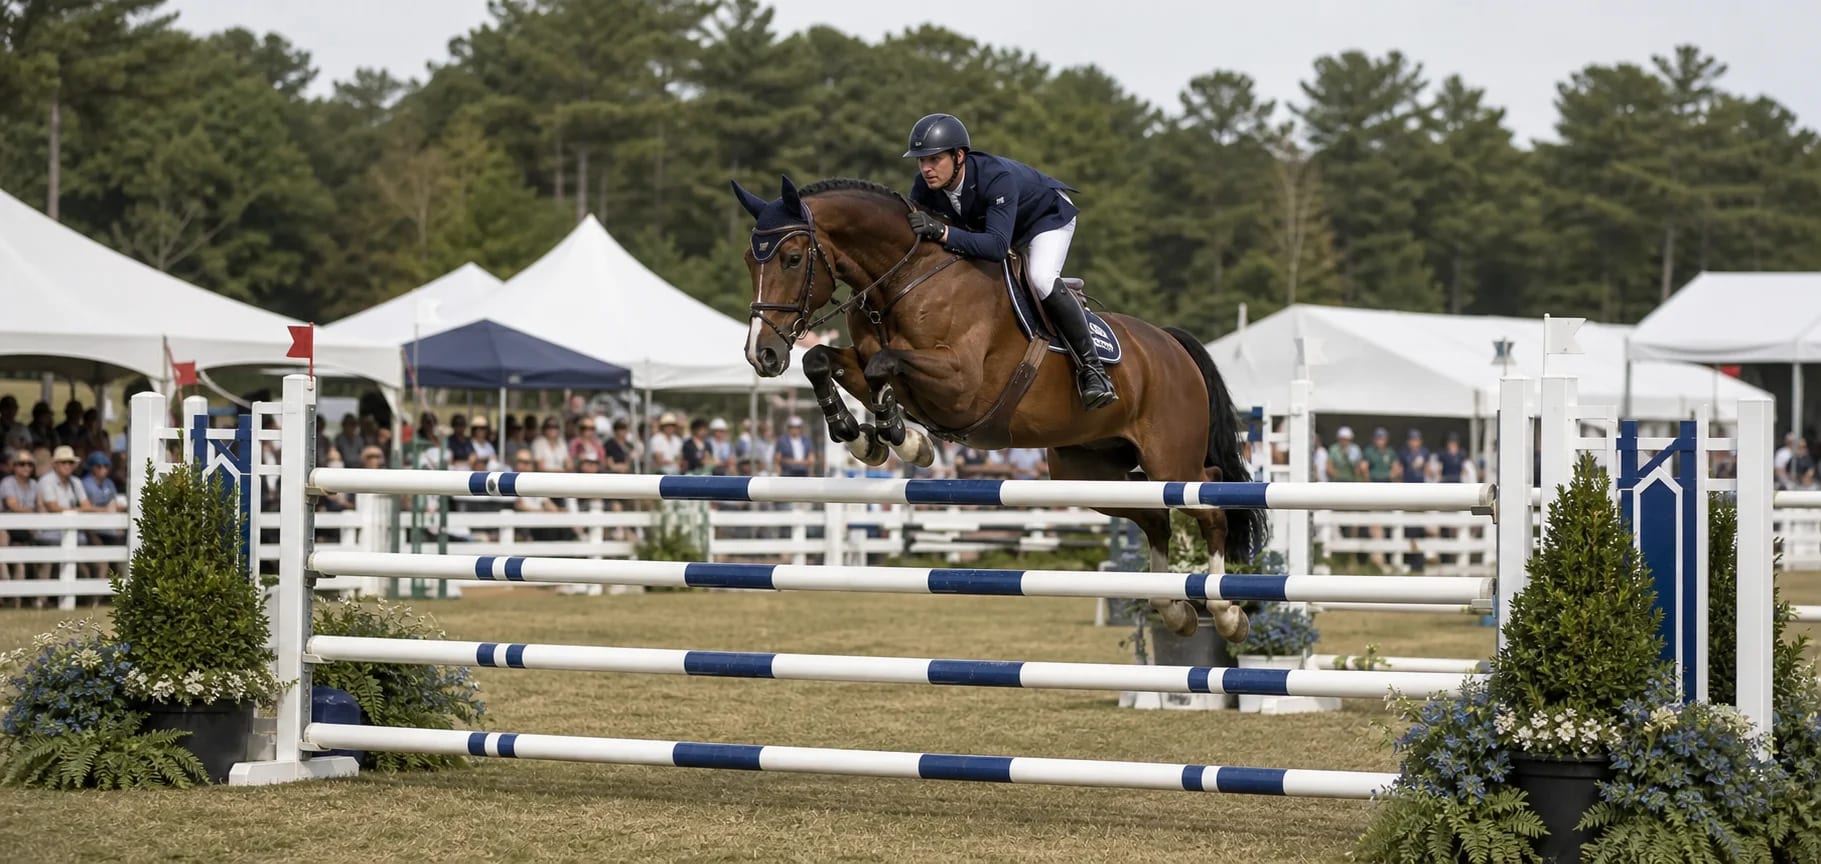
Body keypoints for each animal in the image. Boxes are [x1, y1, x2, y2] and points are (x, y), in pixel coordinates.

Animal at [730, 175, 1267, 642]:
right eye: (750, 261)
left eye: (792, 258)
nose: (762, 355)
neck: (904, 278)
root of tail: (1173, 346)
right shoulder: (868, 359)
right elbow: (824, 361)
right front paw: (866, 437)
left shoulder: (961, 383)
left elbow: (885, 366)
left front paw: (902, 438)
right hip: (1087, 471)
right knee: (1156, 518)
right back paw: (1173, 611)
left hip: (1169, 460)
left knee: (1210, 500)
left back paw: (1226, 614)